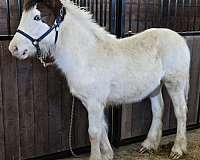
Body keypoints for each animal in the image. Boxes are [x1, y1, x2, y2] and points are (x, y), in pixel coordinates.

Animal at [9, 0, 191, 159]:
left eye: (37, 17)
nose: (14, 48)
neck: (86, 55)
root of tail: (179, 39)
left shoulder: (94, 102)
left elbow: (94, 133)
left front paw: (96, 156)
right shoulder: (90, 103)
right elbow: (102, 128)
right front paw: (108, 154)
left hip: (175, 83)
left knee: (181, 112)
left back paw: (177, 150)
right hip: (155, 87)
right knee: (158, 109)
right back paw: (149, 145)